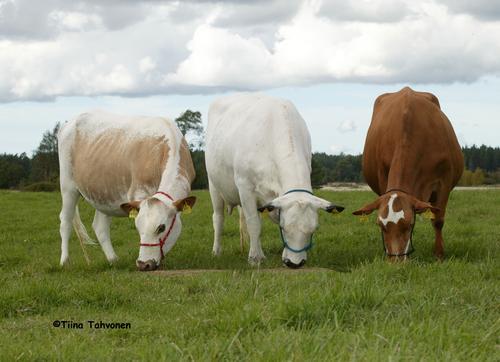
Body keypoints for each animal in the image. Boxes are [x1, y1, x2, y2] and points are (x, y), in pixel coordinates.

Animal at [56, 110, 193, 272]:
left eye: (161, 227)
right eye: (138, 227)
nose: (144, 264)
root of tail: (70, 122)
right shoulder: (138, 192)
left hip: (104, 194)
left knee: (100, 227)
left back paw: (113, 260)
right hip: (68, 186)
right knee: (65, 221)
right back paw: (65, 261)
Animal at [206, 93, 344, 268]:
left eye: (313, 230)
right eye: (283, 228)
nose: (295, 264)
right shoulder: (245, 187)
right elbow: (254, 224)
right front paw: (255, 258)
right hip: (214, 186)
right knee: (218, 219)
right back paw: (216, 251)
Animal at [354, 87, 462, 260]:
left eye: (409, 225)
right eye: (381, 226)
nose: (395, 261)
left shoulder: (444, 181)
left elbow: (438, 220)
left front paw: (439, 254)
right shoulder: (383, 175)